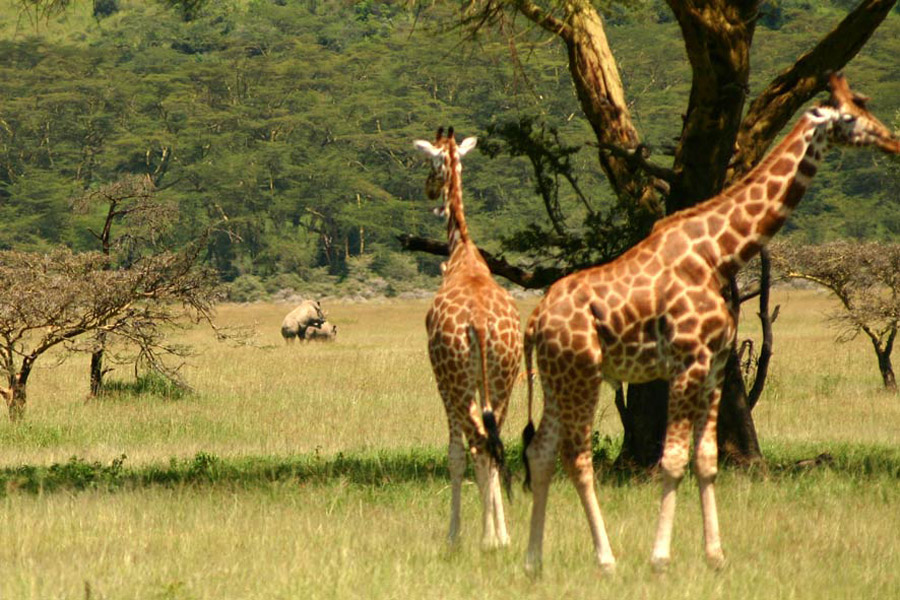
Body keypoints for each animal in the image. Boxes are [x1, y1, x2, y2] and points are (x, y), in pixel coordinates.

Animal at [414, 126, 520, 548]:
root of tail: (478, 323)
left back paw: (481, 537)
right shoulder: (481, 382)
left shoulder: (442, 380)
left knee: (476, 442)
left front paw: (455, 534)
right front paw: (497, 532)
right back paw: (499, 536)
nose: (429, 190)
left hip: (456, 380)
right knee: (493, 442)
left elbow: (455, 455)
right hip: (504, 379)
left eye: (429, 162)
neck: (462, 253)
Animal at [520, 72, 900, 576]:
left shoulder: (717, 366)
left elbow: (707, 459)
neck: (720, 253)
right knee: (576, 456)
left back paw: (533, 561)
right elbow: (672, 460)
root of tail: (535, 319)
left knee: (540, 452)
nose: (893, 141)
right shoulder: (688, 362)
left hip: (556, 376)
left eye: (865, 103)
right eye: (852, 115)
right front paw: (660, 557)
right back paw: (606, 559)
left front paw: (715, 555)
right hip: (583, 373)